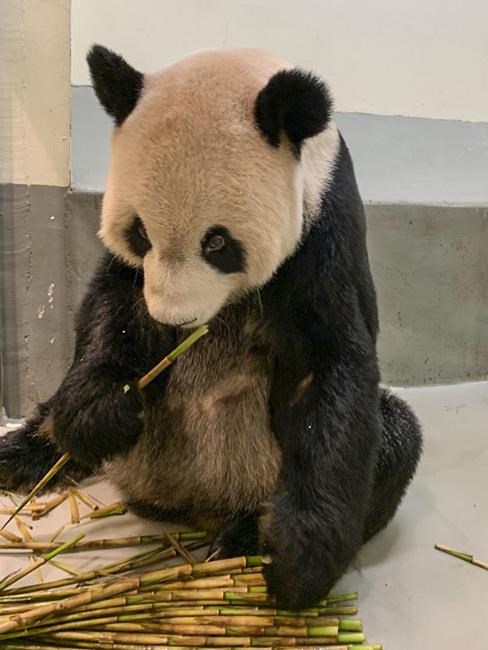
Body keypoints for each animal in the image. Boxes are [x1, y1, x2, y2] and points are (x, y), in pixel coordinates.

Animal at [0, 46, 422, 609]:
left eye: (217, 243)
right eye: (140, 232)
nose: (173, 320)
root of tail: (189, 502)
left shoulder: (326, 224)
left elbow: (329, 365)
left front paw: (297, 560)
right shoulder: (131, 279)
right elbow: (113, 301)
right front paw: (102, 411)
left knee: (394, 439)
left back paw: (245, 536)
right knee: (50, 417)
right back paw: (20, 455)